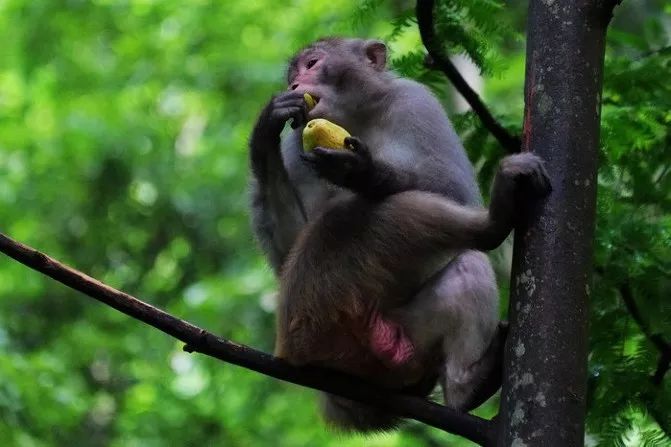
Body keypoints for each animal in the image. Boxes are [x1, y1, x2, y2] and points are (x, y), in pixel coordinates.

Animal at [249, 37, 548, 430]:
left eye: (312, 63)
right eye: (292, 76)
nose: (295, 85)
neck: (357, 116)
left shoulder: (416, 103)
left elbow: (455, 190)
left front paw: (361, 170)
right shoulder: (296, 142)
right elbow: (289, 250)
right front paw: (264, 131)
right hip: (311, 320)